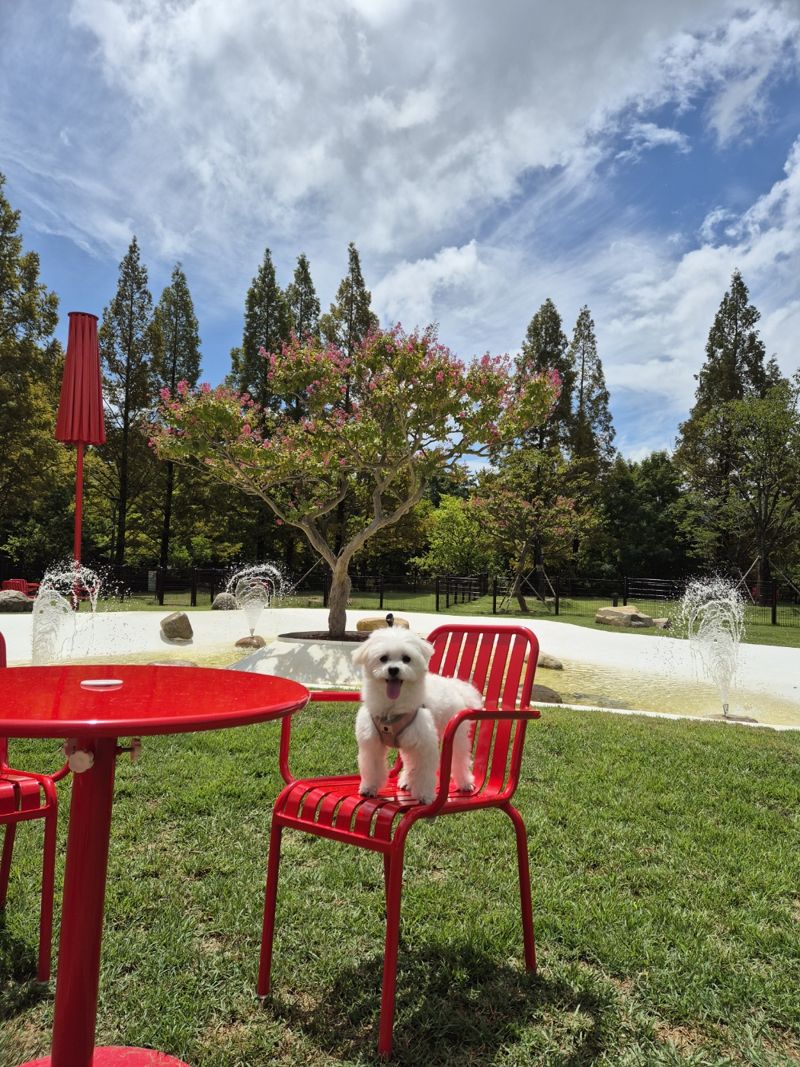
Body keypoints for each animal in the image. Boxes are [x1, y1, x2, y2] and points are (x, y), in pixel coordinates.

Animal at [356, 623, 482, 802]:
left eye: (406, 658)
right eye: (383, 658)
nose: (393, 669)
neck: (392, 708)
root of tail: (454, 684)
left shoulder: (424, 745)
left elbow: (423, 772)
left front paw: (424, 795)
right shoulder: (371, 744)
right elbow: (372, 767)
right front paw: (369, 788)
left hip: (456, 737)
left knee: (459, 759)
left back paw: (465, 783)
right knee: (410, 763)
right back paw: (406, 782)